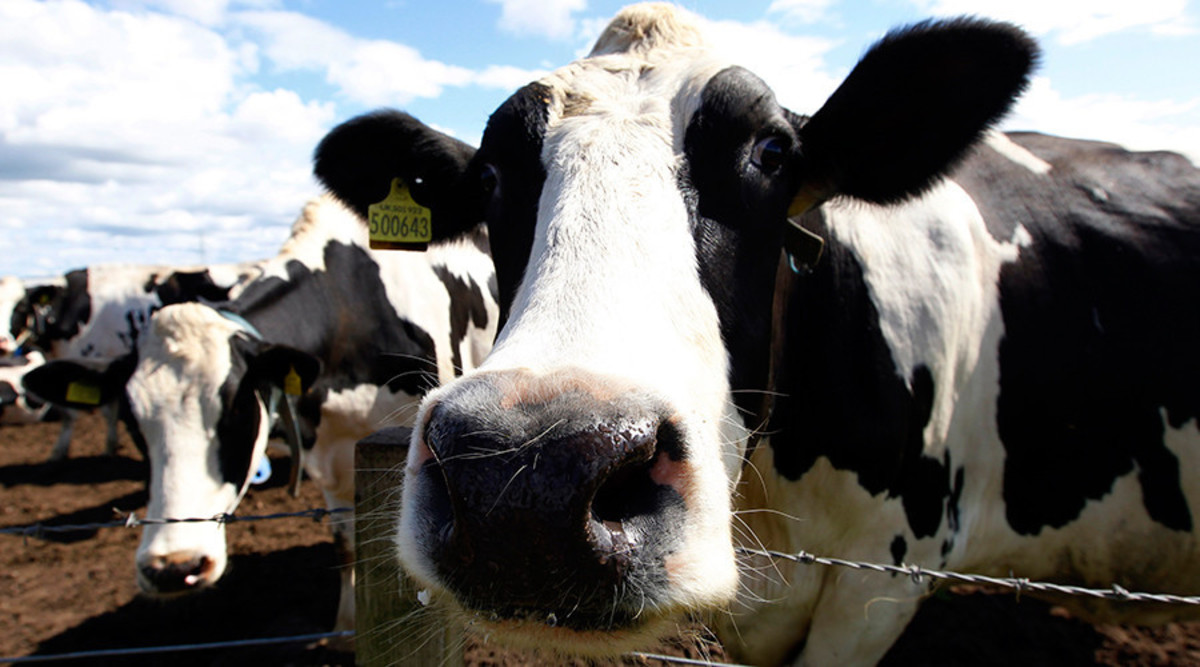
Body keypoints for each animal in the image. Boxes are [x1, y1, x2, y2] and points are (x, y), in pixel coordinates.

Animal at [25, 194, 499, 633]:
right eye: (132, 419)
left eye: (235, 409)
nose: (174, 567)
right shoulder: (327, 453)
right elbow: (345, 543)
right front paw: (345, 623)